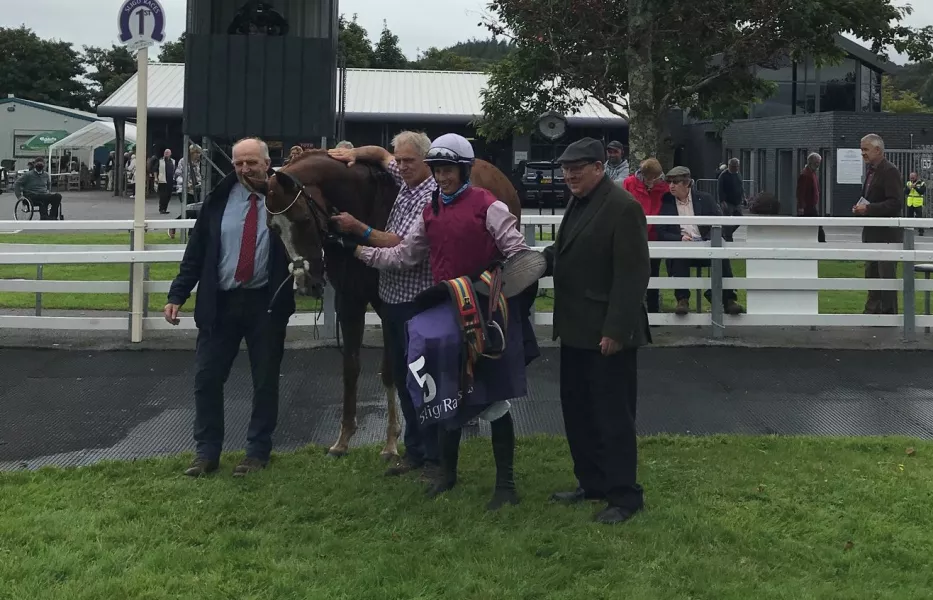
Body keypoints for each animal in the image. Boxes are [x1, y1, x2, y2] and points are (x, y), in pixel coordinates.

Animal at [253, 150, 524, 460]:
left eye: (302, 219)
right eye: (273, 228)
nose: (304, 282)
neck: (366, 204)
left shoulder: (387, 307)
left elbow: (390, 370)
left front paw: (392, 442)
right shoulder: (350, 300)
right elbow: (351, 367)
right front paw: (343, 438)